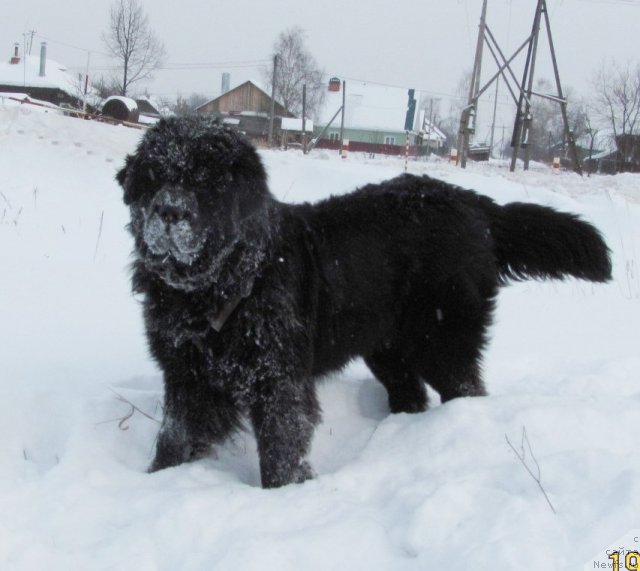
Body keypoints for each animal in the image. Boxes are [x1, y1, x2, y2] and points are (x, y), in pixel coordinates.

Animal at [117, 116, 612, 488]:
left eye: (206, 182)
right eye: (155, 177)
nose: (170, 211)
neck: (221, 284)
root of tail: (477, 206)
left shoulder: (278, 380)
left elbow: (280, 448)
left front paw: (284, 493)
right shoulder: (186, 376)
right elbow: (176, 435)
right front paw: (158, 479)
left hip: (441, 340)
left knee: (465, 388)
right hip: (388, 347)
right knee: (411, 392)